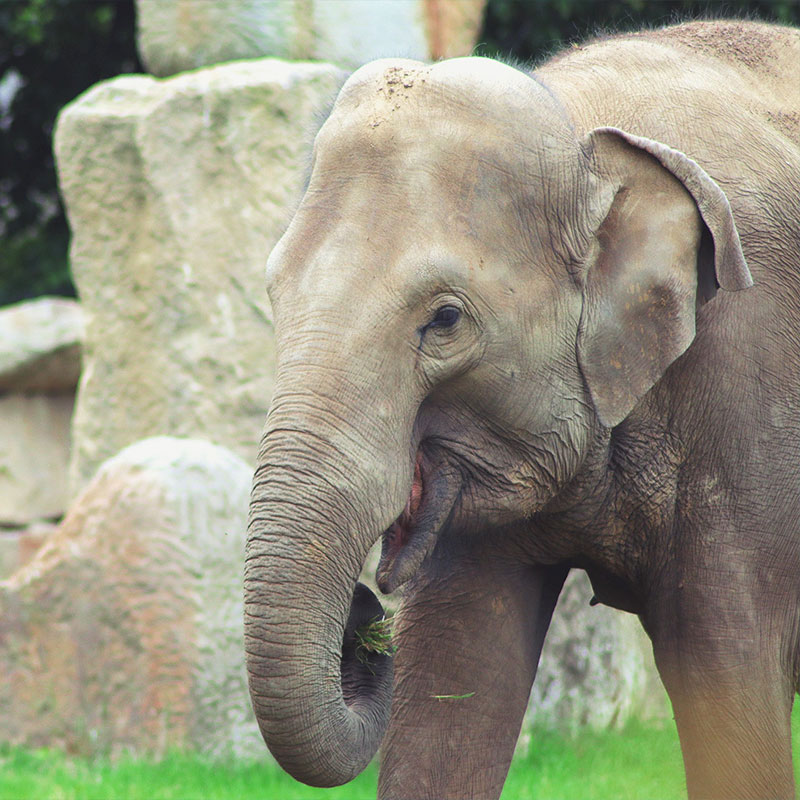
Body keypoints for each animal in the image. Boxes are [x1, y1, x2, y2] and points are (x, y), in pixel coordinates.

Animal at [244, 19, 800, 800]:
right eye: (275, 294)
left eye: (445, 319)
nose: (365, 619)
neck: (582, 129)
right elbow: (456, 673)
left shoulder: (751, 395)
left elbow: (726, 673)